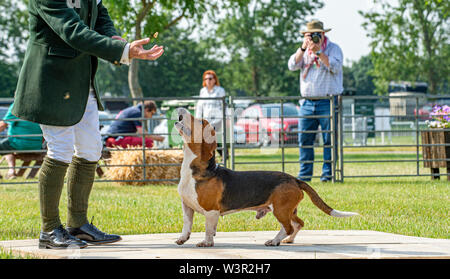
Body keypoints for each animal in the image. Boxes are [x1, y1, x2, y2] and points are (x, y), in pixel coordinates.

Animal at [174, 108, 356, 248]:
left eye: (200, 122)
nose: (181, 109)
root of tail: (294, 179)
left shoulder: (211, 212)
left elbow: (208, 229)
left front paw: (206, 243)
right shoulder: (186, 207)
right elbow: (187, 225)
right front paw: (183, 238)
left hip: (280, 209)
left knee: (288, 227)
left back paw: (274, 241)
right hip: (288, 210)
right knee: (299, 223)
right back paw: (288, 240)